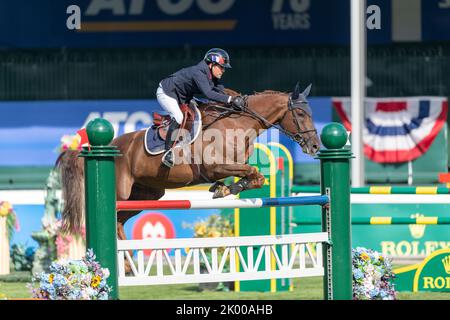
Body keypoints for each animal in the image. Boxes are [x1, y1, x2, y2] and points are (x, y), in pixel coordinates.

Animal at [59, 82, 320, 242]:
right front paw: (226, 189)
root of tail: (106, 146)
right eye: (300, 114)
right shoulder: (215, 167)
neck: (237, 123)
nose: (315, 146)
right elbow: (254, 172)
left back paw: (127, 264)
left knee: (119, 222)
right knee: (113, 220)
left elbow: (254, 177)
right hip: (120, 194)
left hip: (146, 194)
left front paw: (225, 189)